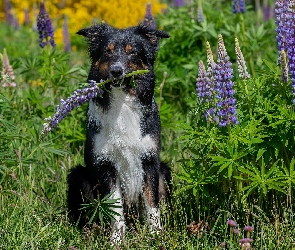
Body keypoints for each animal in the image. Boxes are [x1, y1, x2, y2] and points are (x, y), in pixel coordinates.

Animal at [67, 23, 171, 242]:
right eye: (108, 51)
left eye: (132, 52)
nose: (116, 71)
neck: (122, 101)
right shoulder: (105, 163)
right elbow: (115, 206)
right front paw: (117, 240)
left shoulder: (149, 161)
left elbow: (152, 203)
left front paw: (156, 235)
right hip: (78, 175)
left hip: (165, 171)